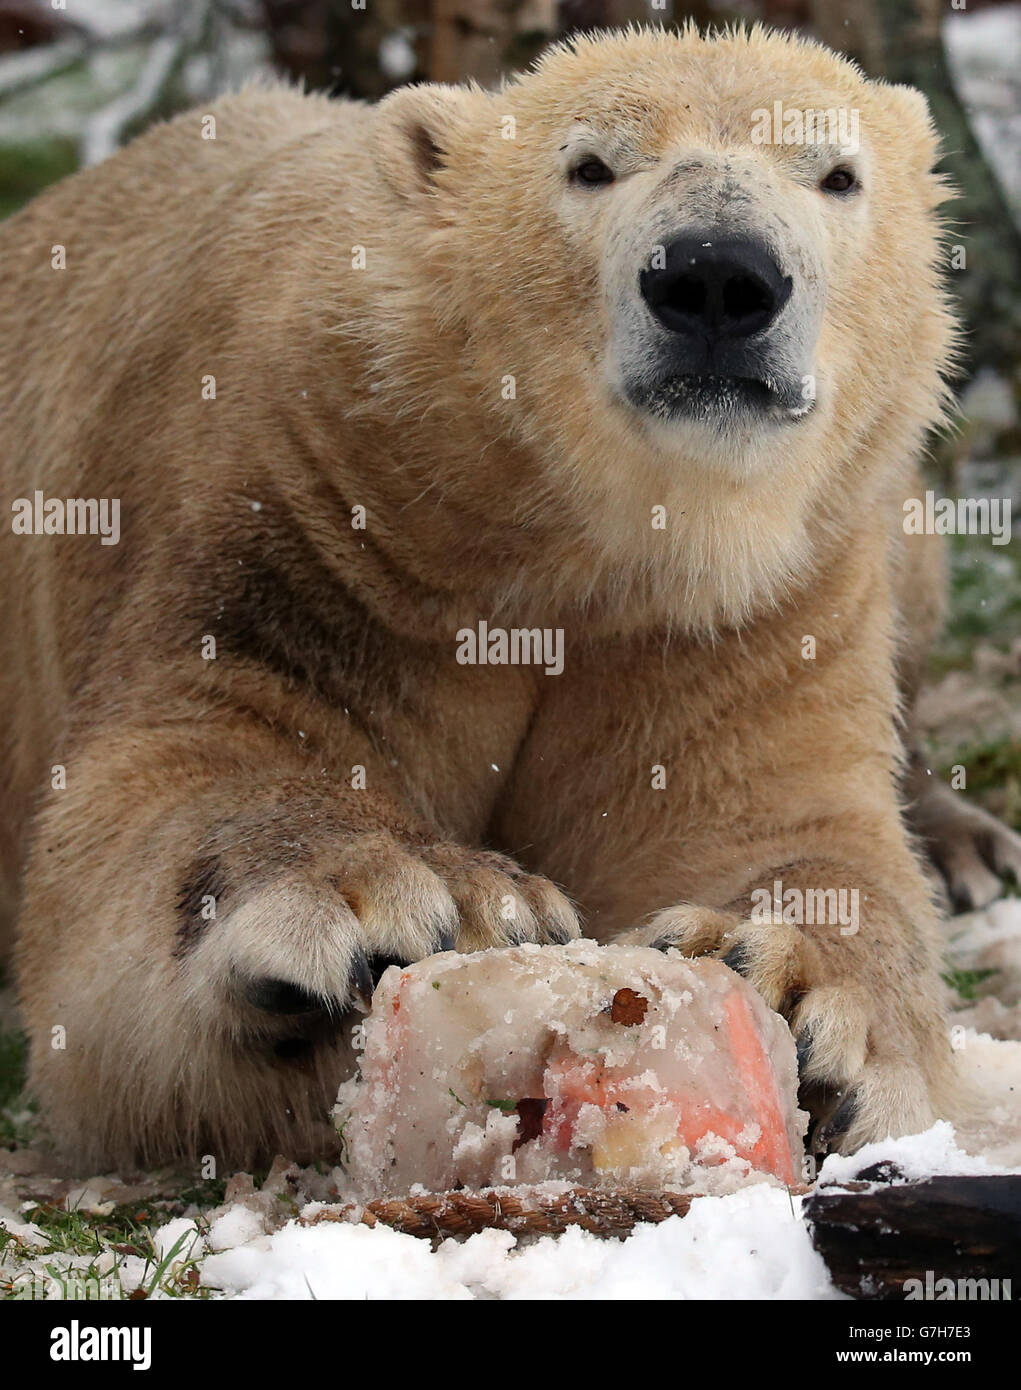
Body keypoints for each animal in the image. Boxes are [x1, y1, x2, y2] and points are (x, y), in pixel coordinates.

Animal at [3, 24, 1016, 1173]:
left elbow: (774, 823)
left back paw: (965, 843)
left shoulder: (756, 605)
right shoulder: (305, 509)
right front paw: (421, 899)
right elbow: (181, 766)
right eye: (589, 165)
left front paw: (796, 989)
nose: (717, 276)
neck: (565, 528)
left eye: (838, 173)